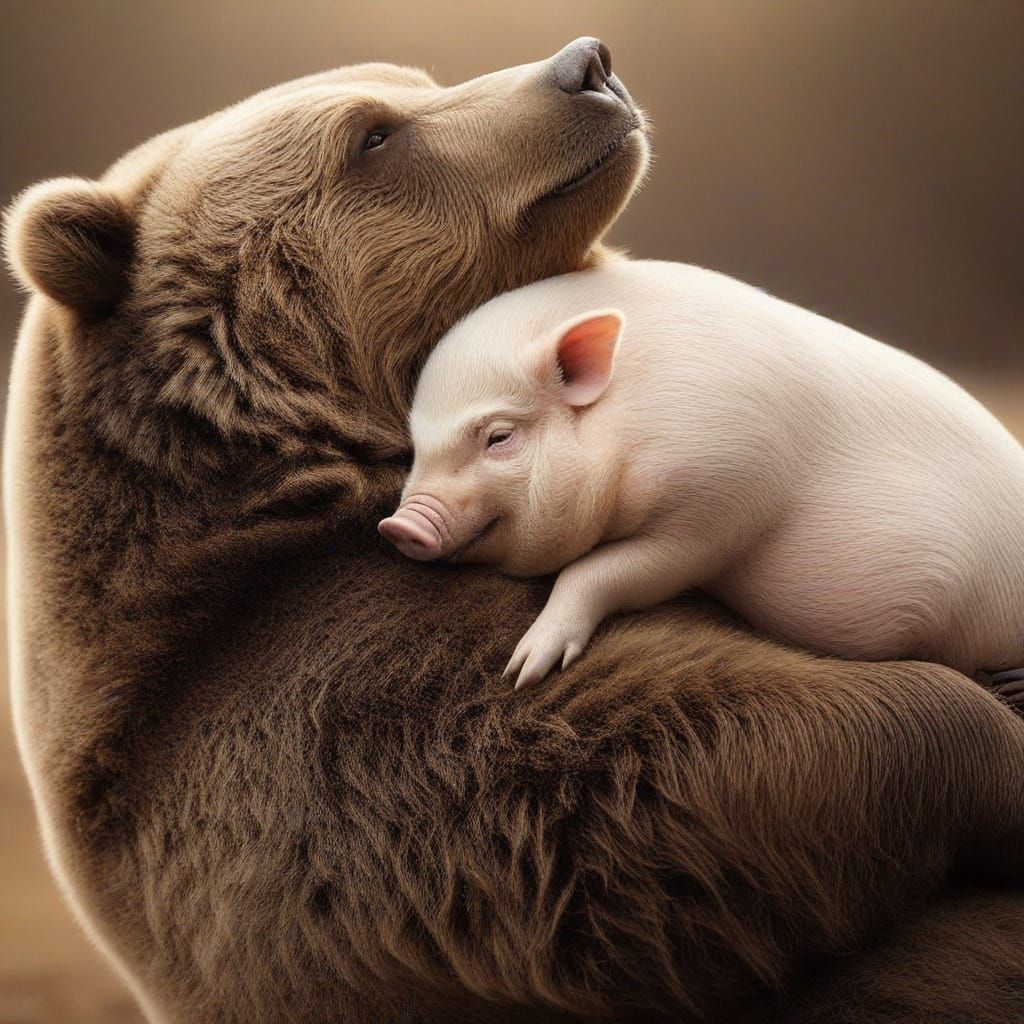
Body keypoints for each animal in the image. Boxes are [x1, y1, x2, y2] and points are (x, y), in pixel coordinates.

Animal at [379, 260, 1024, 691]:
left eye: (499, 437)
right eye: (416, 446)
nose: (398, 527)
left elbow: (602, 570)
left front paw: (524, 670)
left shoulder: (718, 504)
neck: (629, 419)